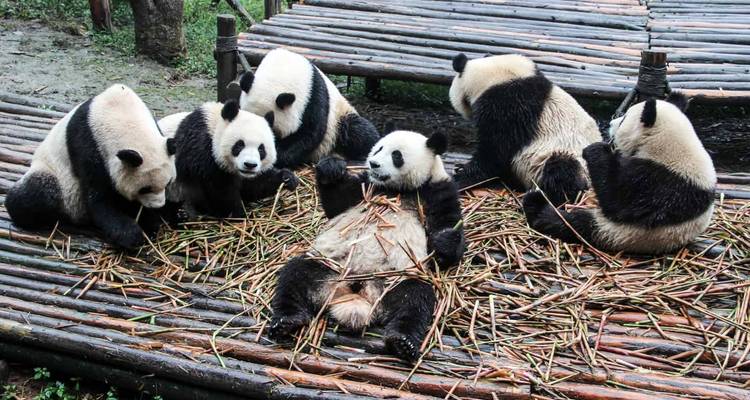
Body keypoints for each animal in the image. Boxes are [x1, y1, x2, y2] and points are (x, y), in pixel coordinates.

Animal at [5, 84, 176, 249]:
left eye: (168, 183)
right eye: (145, 189)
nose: (158, 205)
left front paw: (152, 220)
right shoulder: (88, 145)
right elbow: (97, 198)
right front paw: (130, 234)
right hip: (55, 176)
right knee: (36, 192)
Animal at [164, 100, 299, 219]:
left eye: (261, 149)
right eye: (239, 145)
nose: (250, 165)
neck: (214, 126)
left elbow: (253, 186)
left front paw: (287, 178)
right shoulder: (199, 149)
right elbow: (220, 191)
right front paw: (238, 214)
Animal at [238, 48, 381, 169]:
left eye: (270, 127)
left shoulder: (314, 97)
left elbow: (310, 133)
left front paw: (278, 155)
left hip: (339, 120)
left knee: (357, 130)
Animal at [269, 130, 465, 362]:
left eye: (396, 155)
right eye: (378, 148)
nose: (373, 163)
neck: (397, 190)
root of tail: (356, 291)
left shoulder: (436, 190)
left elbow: (448, 229)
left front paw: (444, 241)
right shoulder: (366, 186)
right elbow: (337, 205)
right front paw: (331, 168)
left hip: (394, 278)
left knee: (415, 299)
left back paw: (403, 341)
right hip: (328, 266)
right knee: (295, 274)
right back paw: (286, 321)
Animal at [523, 92, 716, 254]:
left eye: (624, 120)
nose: (610, 124)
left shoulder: (661, 182)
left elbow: (616, 198)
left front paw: (596, 150)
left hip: (620, 232)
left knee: (573, 224)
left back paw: (537, 206)